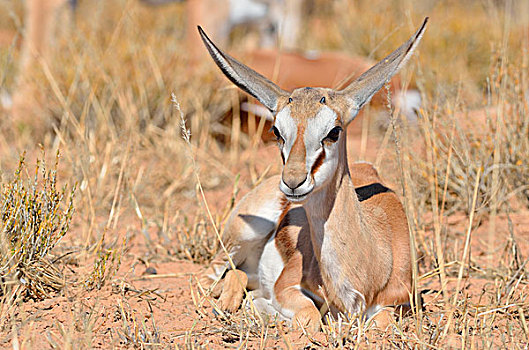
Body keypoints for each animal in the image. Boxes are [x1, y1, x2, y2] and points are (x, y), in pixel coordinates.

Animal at [200, 19, 426, 330]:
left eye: (334, 131)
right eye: (276, 131)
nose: (293, 182)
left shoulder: (394, 304)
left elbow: (381, 322)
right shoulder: (286, 288)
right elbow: (309, 317)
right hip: (240, 238)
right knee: (219, 276)